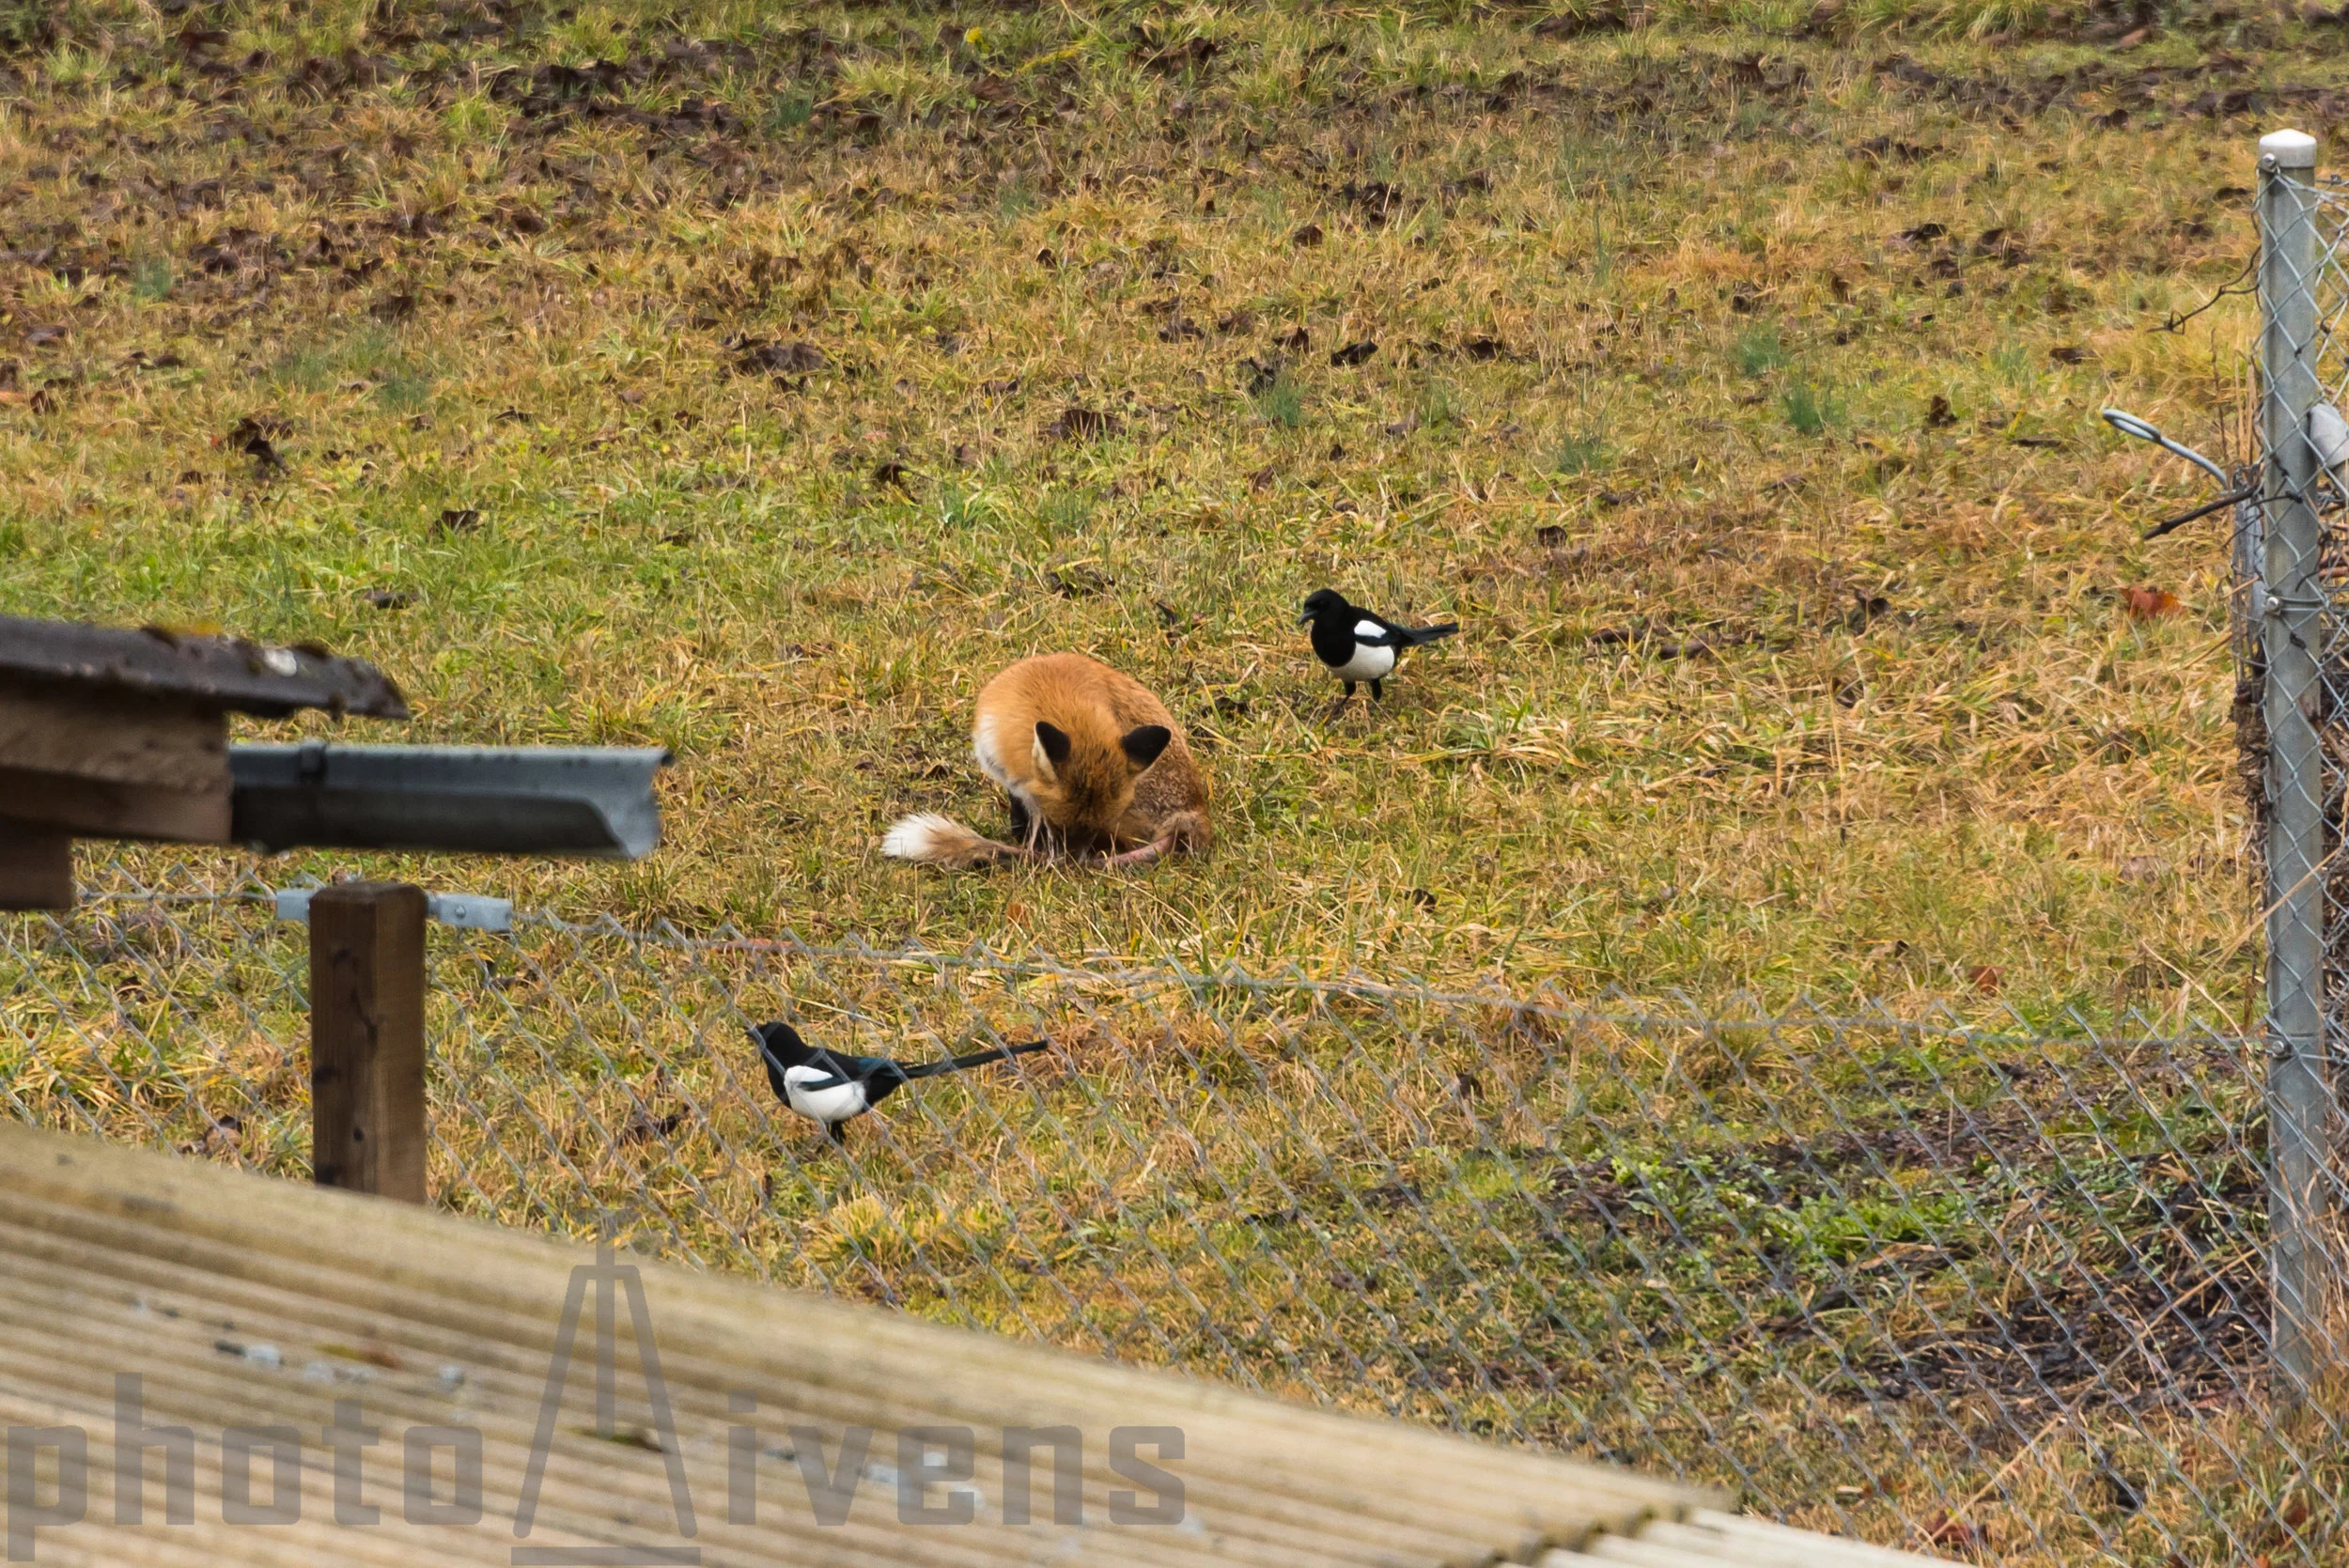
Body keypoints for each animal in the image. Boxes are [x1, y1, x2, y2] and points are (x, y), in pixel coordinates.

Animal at [881, 653, 1211, 870]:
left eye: (1092, 830)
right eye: (1059, 826)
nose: (1069, 866)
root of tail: (1192, 815)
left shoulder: (1025, 795)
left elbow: (1024, 825)